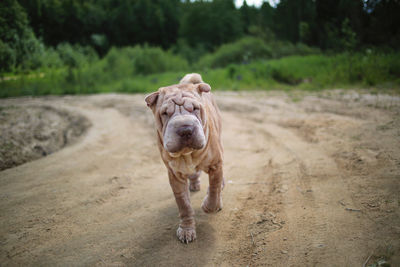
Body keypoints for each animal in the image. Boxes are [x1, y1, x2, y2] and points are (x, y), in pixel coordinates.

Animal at [145, 73, 225, 243]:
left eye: (195, 108)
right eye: (165, 113)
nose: (185, 129)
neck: (187, 155)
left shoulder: (216, 164)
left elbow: (214, 189)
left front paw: (209, 206)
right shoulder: (175, 175)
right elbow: (184, 204)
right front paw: (187, 230)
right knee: (194, 175)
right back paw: (194, 184)